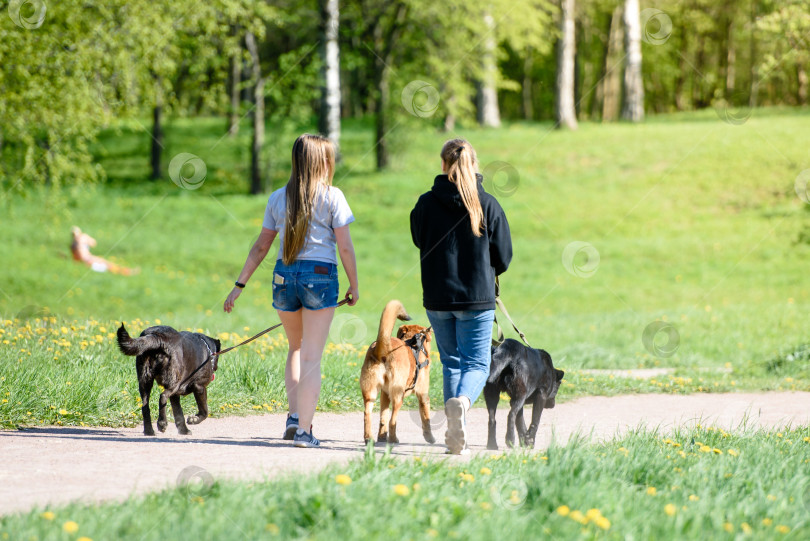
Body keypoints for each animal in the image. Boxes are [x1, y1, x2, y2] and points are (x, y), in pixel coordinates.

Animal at [362, 300, 436, 442]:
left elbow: (383, 417)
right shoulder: (423, 394)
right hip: (398, 395)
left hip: (370, 392)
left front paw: (382, 436)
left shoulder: (385, 394)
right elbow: (426, 419)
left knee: (368, 414)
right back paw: (393, 439)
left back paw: (370, 438)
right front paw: (430, 438)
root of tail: (385, 348)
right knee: (393, 420)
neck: (414, 344)